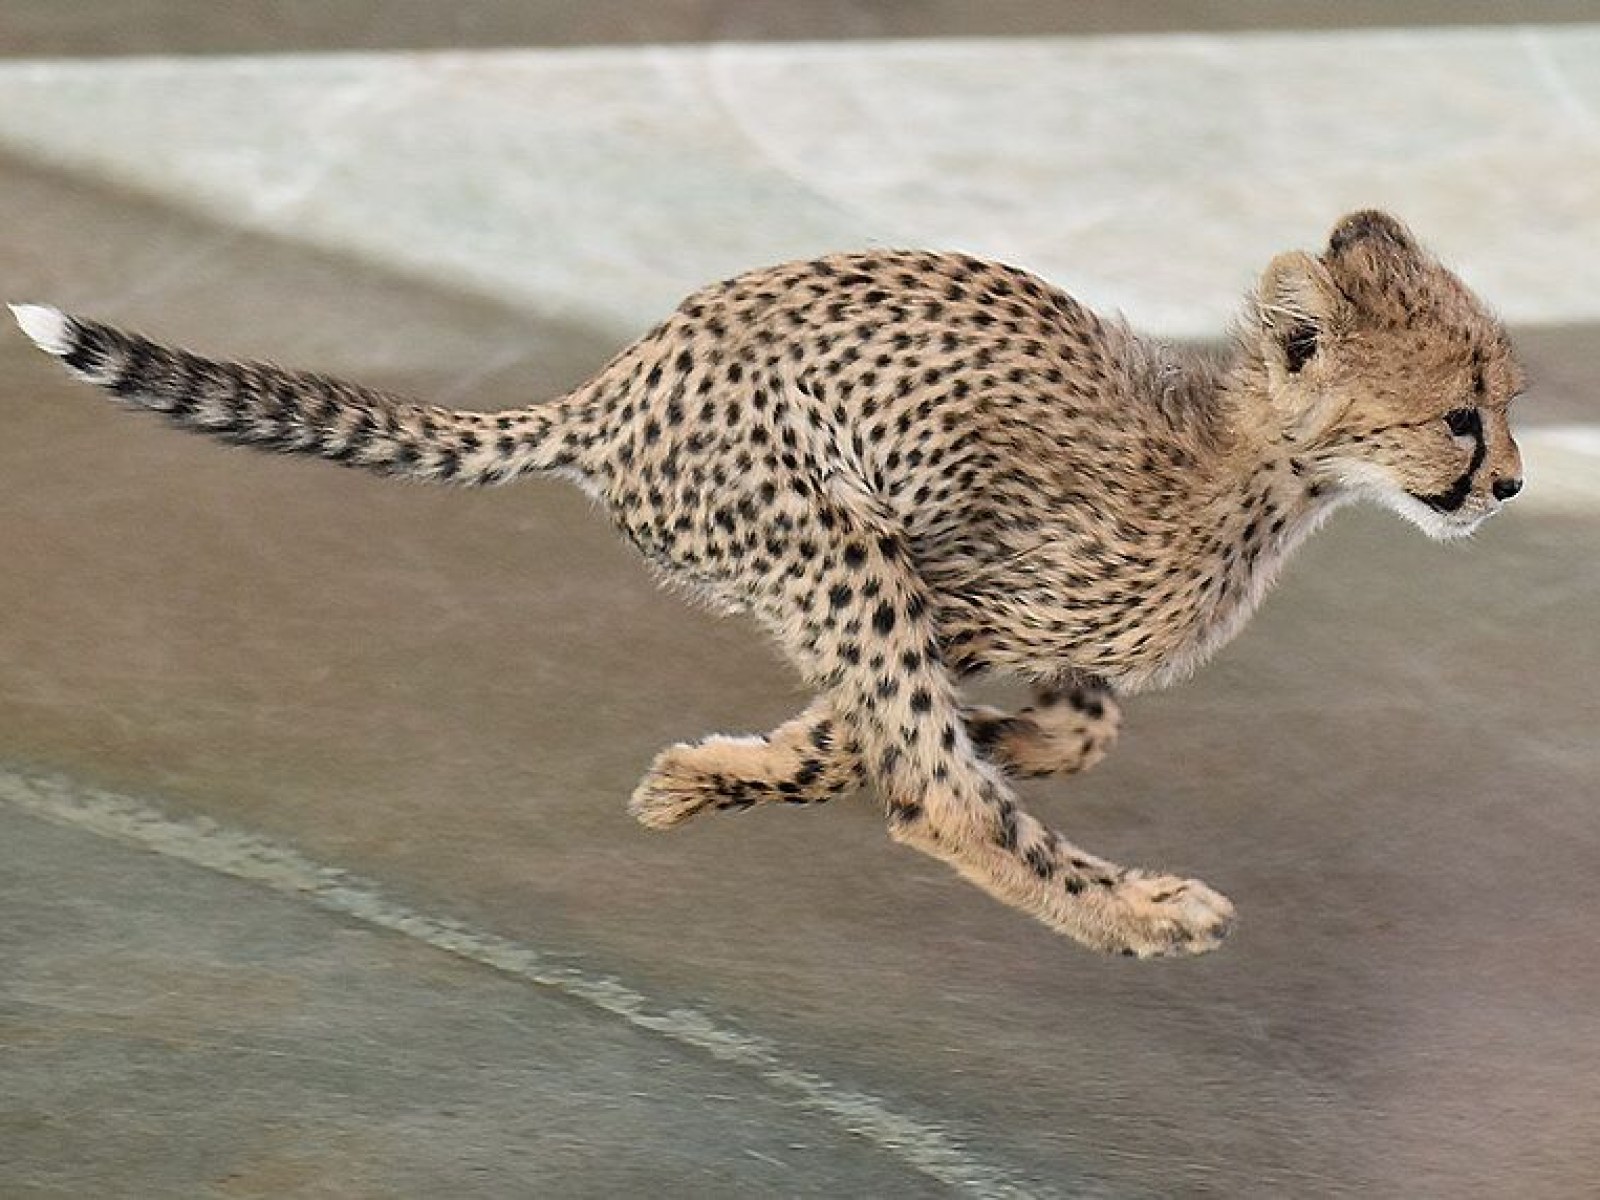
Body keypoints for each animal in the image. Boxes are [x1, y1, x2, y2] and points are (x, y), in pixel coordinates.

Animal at [10, 209, 1524, 958]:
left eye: (1504, 406)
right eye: (1463, 415)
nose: (1510, 484)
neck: (1253, 466)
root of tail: (612, 387)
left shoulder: (982, 616)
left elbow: (1069, 718)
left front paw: (732, 770)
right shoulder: (949, 585)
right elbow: (929, 744)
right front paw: (843, 759)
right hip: (834, 535)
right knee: (943, 813)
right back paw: (1137, 913)